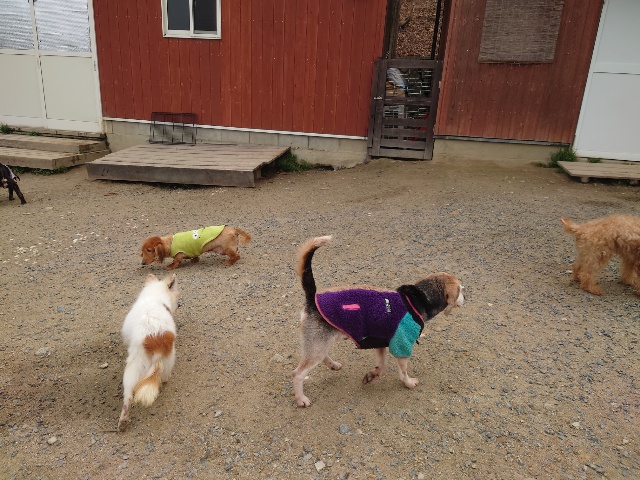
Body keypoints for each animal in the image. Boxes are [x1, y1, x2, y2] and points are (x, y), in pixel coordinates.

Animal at [292, 236, 464, 407]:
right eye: (461, 289)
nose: (466, 296)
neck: (417, 299)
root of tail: (312, 299)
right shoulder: (402, 346)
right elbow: (403, 371)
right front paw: (408, 383)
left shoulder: (380, 342)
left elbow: (382, 366)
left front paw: (372, 375)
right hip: (317, 346)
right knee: (297, 374)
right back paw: (301, 399)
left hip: (320, 344)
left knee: (322, 357)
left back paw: (333, 365)